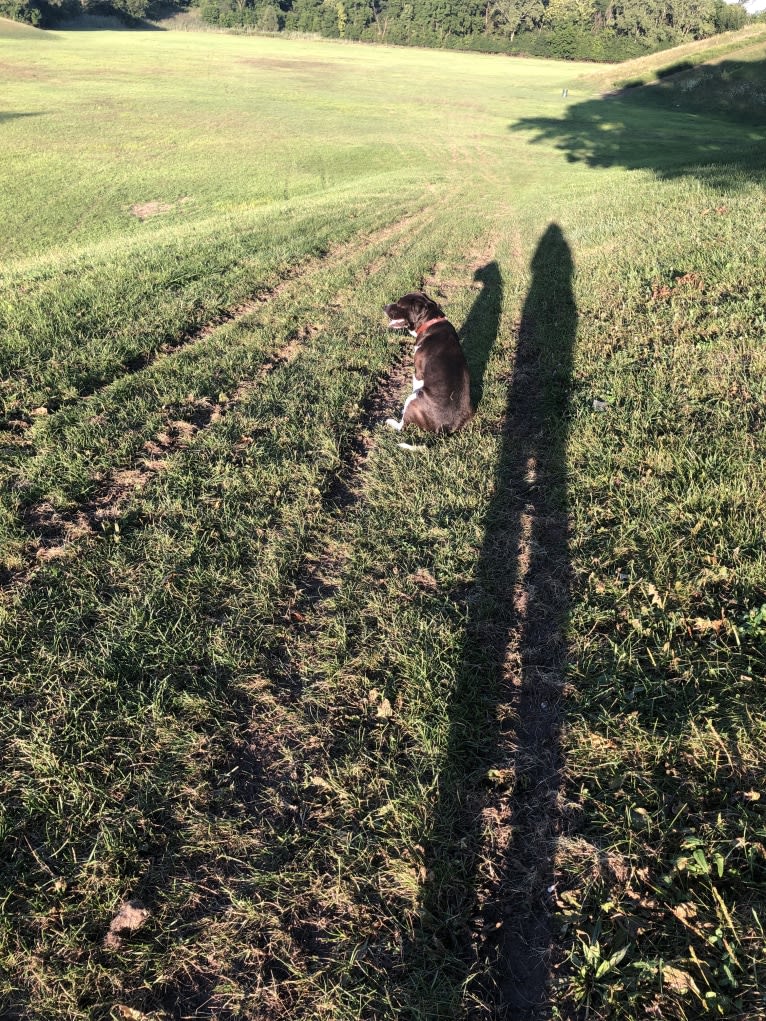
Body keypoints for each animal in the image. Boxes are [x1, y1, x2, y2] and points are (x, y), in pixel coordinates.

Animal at [384, 292, 473, 434]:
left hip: (413, 398)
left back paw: (391, 421)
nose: (384, 307)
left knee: (403, 425)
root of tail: (445, 428)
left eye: (399, 304)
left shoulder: (418, 372)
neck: (429, 323)